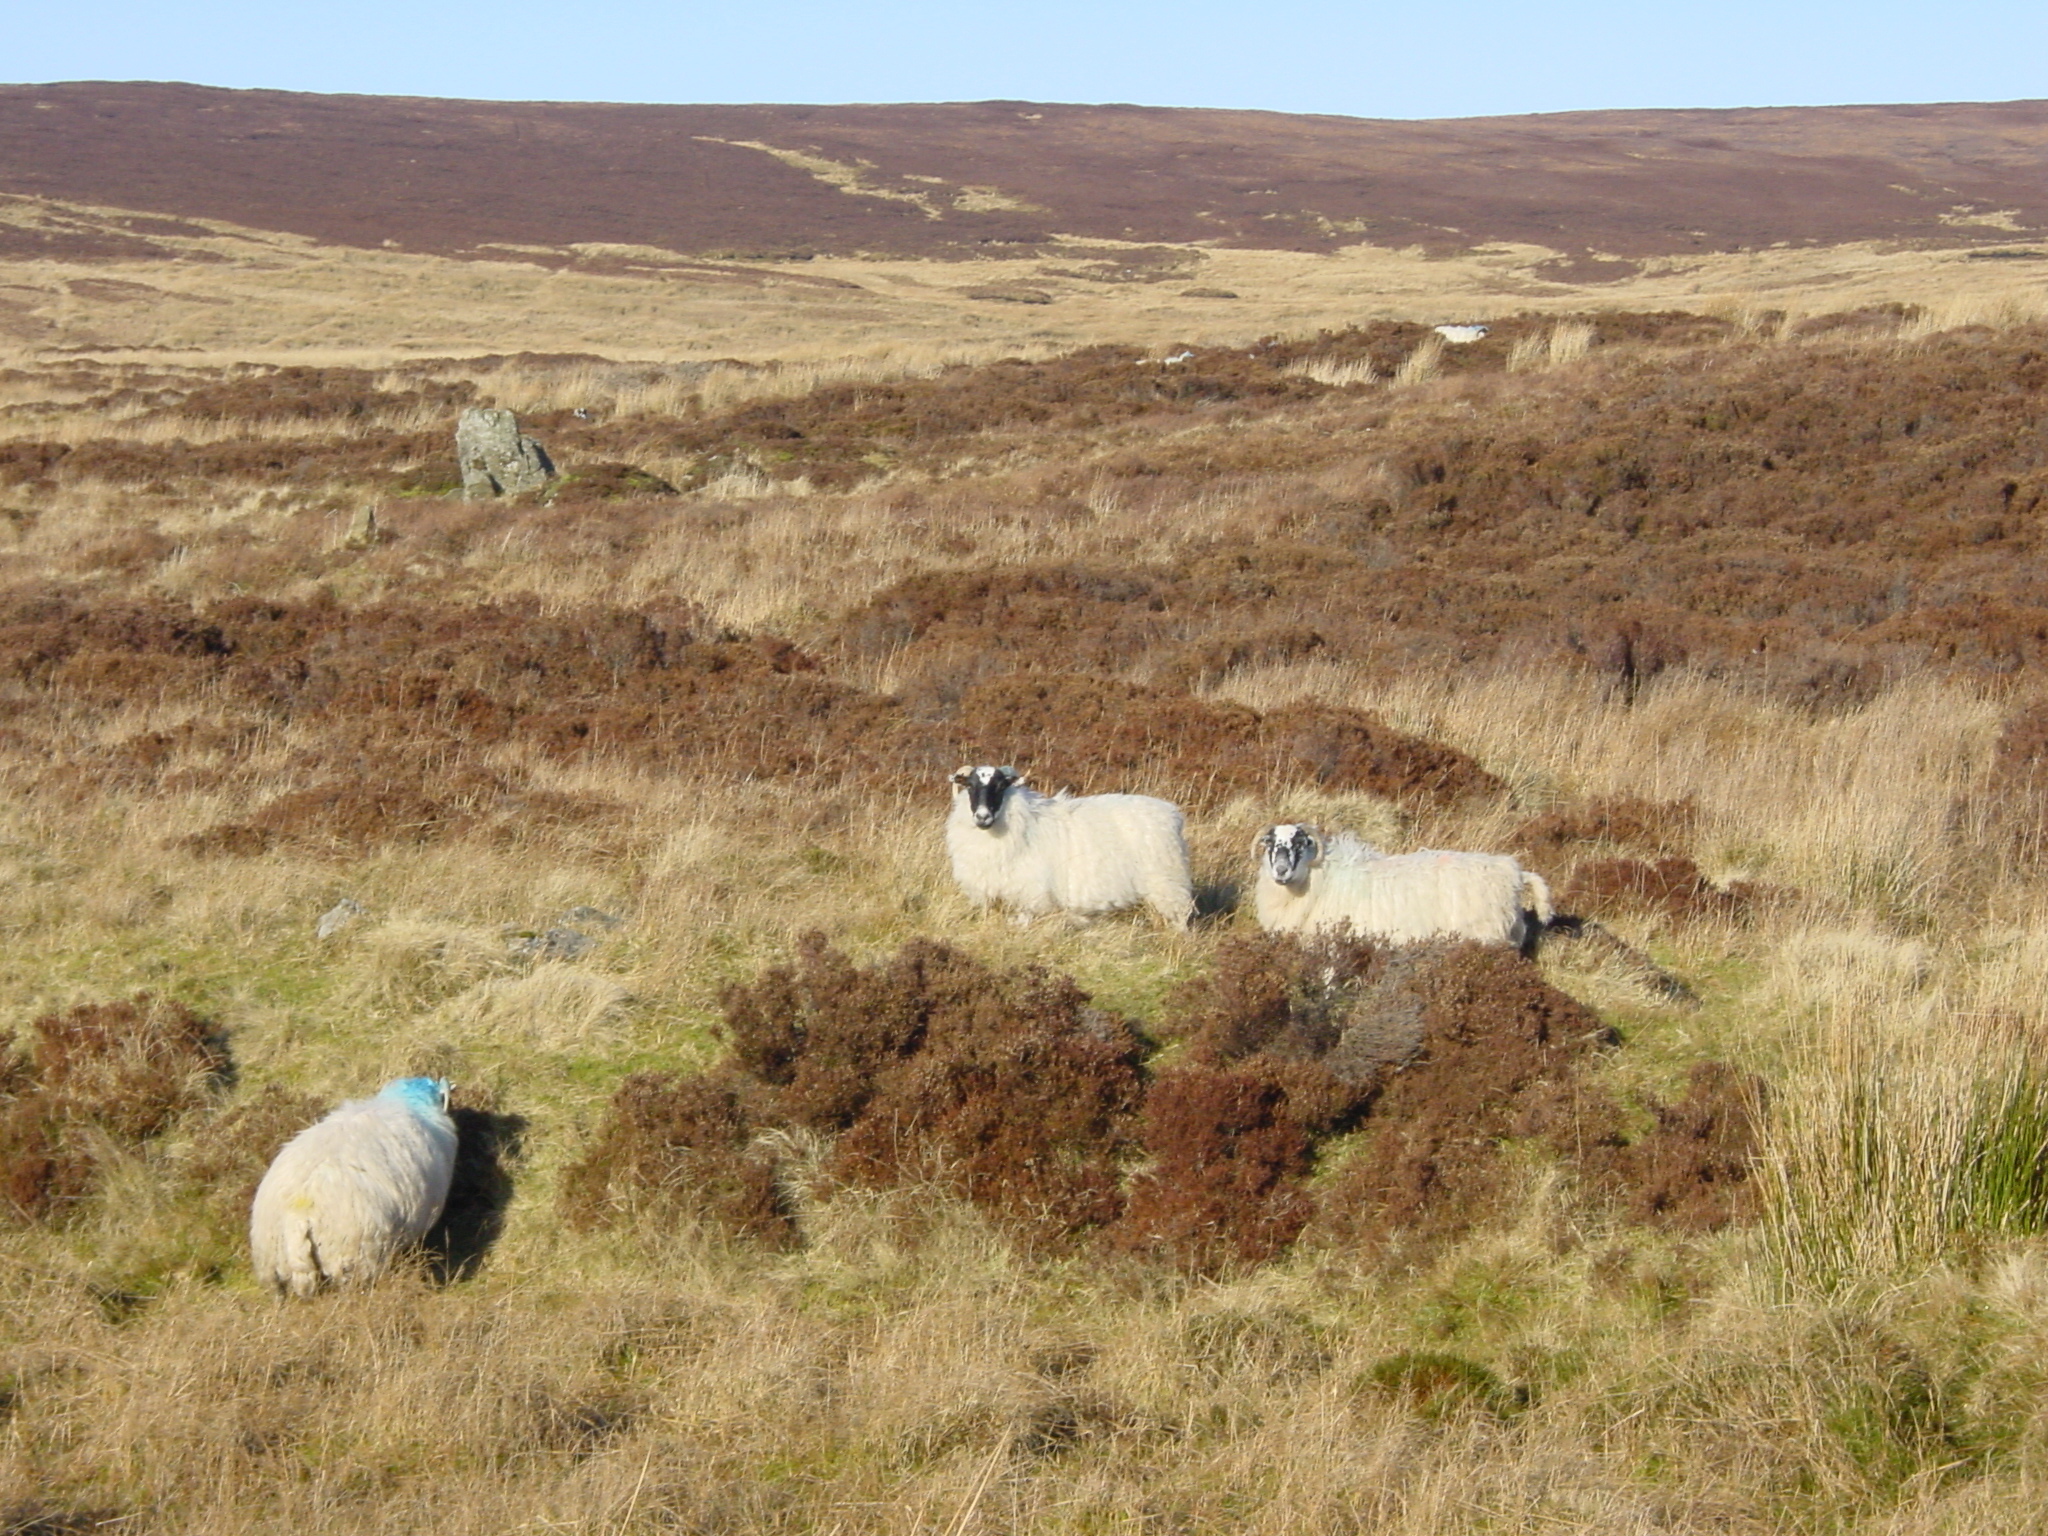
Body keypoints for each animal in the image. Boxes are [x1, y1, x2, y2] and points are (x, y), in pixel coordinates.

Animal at [946, 765, 1196, 925]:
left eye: (1000, 786)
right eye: (970, 786)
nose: (982, 817)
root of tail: (1171, 813)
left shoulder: (1030, 896)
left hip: (1167, 884)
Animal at [1245, 823, 1548, 958]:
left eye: (1299, 844)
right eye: (1270, 843)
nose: (1281, 870)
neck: (1321, 878)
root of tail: (1512, 871)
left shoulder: (1331, 941)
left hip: (1486, 938)